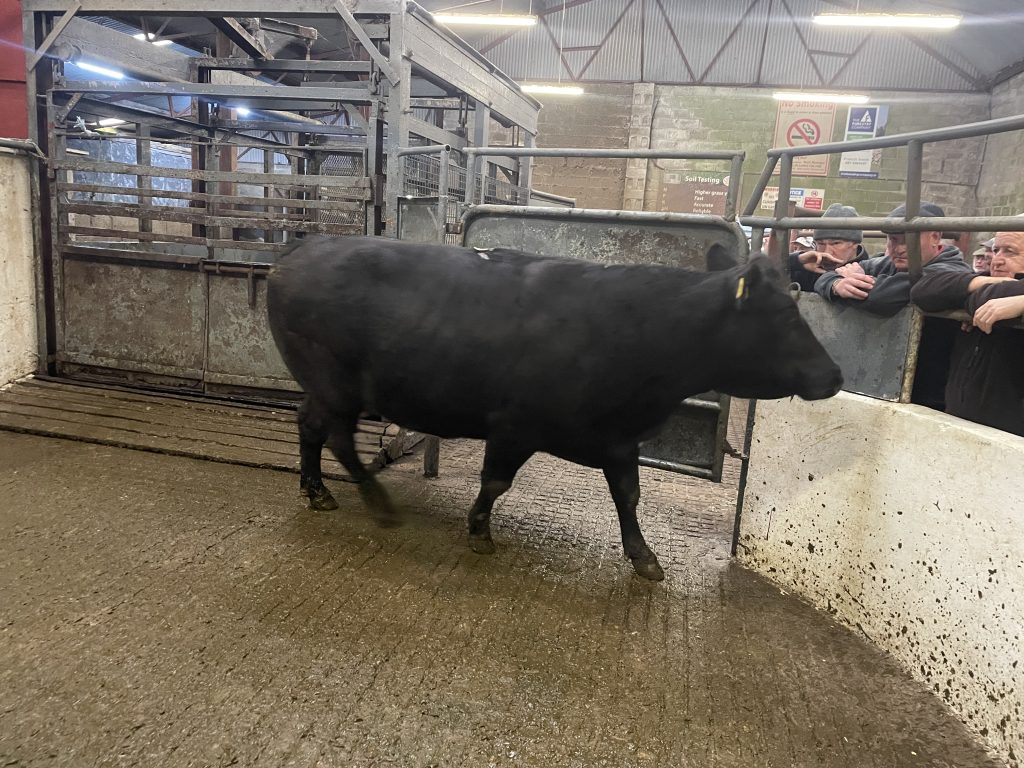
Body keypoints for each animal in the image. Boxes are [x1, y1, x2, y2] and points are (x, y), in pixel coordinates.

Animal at [267, 235, 842, 581]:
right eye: (785, 315)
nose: (834, 375)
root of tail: (300, 249)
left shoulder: (618, 438)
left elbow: (628, 496)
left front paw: (644, 556)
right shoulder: (514, 424)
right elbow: (496, 482)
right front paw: (479, 531)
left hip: (324, 387)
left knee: (309, 425)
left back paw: (317, 491)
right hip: (336, 383)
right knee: (337, 436)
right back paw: (376, 500)